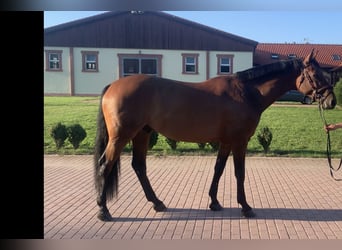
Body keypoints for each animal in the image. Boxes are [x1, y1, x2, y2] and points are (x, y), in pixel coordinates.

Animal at [93, 49, 336, 222]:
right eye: (315, 75)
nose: (331, 101)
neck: (246, 92)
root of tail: (113, 86)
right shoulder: (239, 141)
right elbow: (239, 173)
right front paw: (245, 207)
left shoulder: (226, 142)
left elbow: (218, 169)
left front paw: (214, 202)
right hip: (121, 136)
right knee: (106, 165)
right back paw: (104, 211)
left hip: (141, 134)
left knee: (139, 166)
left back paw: (157, 203)